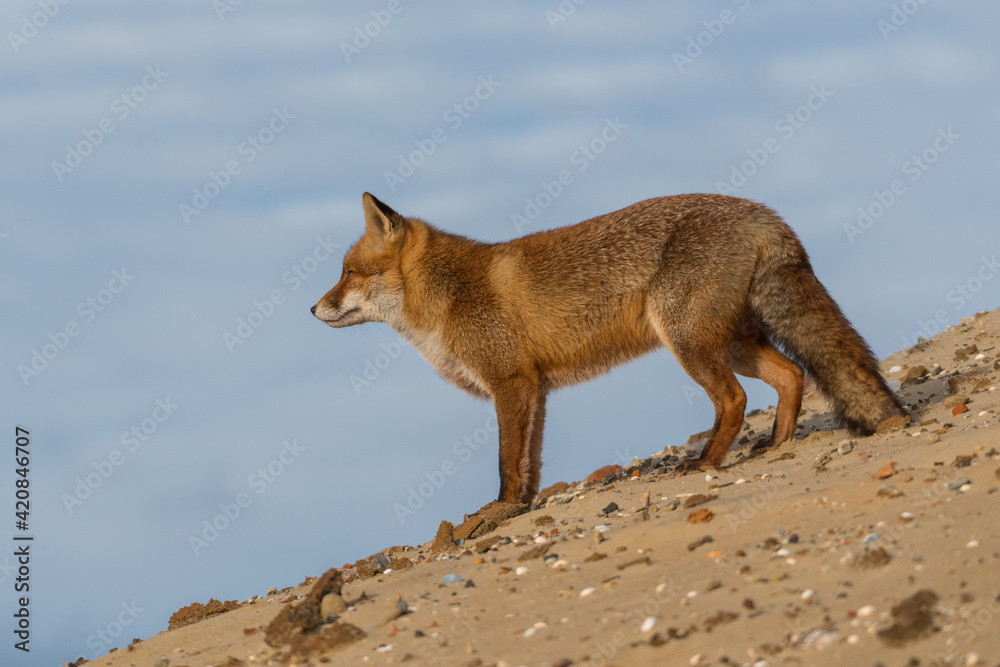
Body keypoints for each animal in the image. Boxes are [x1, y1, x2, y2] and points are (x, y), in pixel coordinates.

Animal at [312, 192, 906, 504]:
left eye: (348, 273)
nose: (312, 309)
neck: (449, 294)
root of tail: (761, 211)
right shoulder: (536, 387)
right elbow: (530, 460)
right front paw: (524, 508)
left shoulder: (510, 382)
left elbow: (506, 461)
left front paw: (498, 511)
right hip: (731, 343)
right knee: (791, 376)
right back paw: (777, 444)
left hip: (688, 343)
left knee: (735, 400)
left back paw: (705, 463)